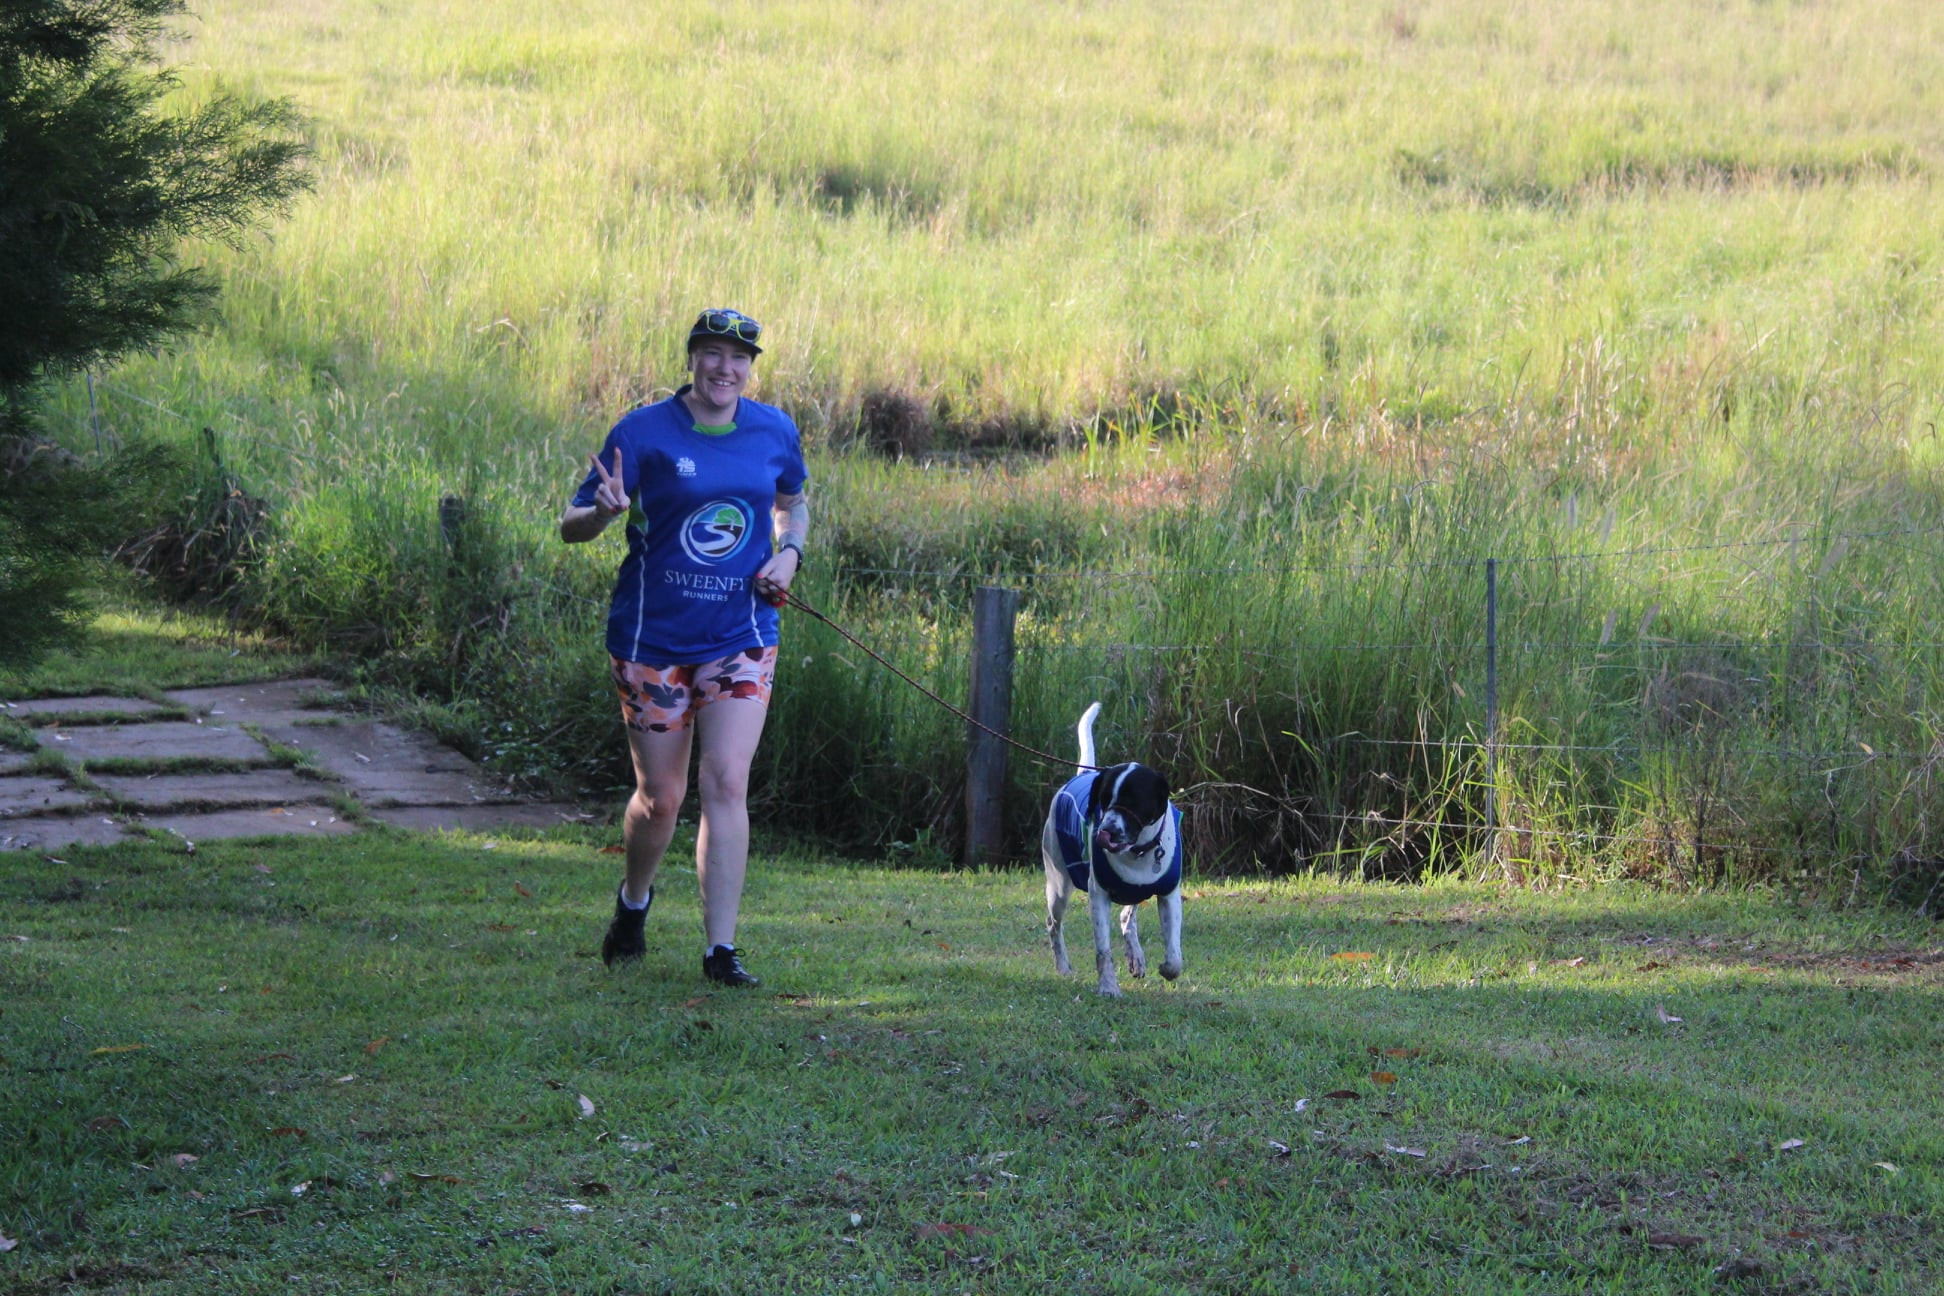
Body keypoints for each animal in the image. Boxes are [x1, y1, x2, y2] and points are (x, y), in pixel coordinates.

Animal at [1041, 703, 1174, 1002]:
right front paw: (1108, 987)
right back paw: (1063, 966)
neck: (1139, 852)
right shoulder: (1098, 894)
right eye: (1103, 800)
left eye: (1134, 801)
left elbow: (1174, 952)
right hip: (1058, 884)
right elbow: (1103, 951)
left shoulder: (1168, 893)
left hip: (1134, 892)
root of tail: (1080, 775)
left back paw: (1136, 957)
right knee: (1053, 924)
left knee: (1127, 919)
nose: (1106, 830)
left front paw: (1167, 968)